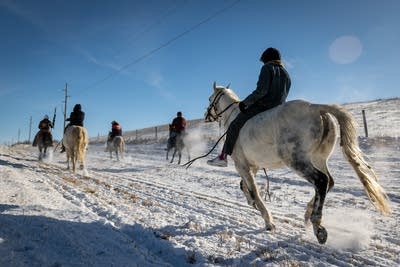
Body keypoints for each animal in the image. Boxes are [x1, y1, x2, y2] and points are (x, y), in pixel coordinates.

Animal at [206, 83, 390, 245]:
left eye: (210, 99)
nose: (206, 115)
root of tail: (315, 107)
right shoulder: (253, 166)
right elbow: (244, 185)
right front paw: (252, 203)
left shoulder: (242, 165)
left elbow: (254, 190)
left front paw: (268, 221)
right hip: (318, 158)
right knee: (328, 182)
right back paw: (308, 215)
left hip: (296, 160)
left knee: (321, 181)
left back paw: (318, 227)